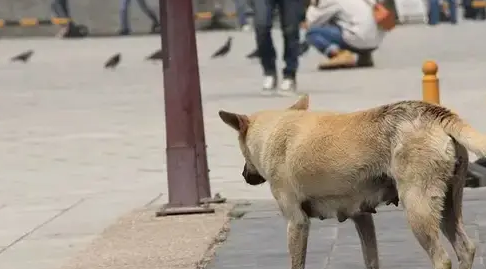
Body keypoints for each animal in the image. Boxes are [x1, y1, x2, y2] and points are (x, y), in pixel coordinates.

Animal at [221, 95, 478, 268]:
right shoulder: (362, 217)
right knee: (466, 249)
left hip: (418, 209)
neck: (276, 128)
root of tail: (434, 113)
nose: (245, 175)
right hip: (447, 207)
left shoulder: (297, 222)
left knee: (442, 259)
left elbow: (297, 262)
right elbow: (371, 259)